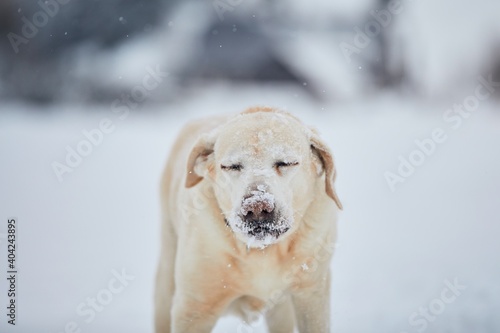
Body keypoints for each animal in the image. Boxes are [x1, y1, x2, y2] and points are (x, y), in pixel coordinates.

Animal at [155, 107, 344, 332]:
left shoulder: (312, 295)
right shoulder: (193, 309)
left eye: (286, 163)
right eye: (231, 166)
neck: (262, 252)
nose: (257, 207)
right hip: (166, 281)